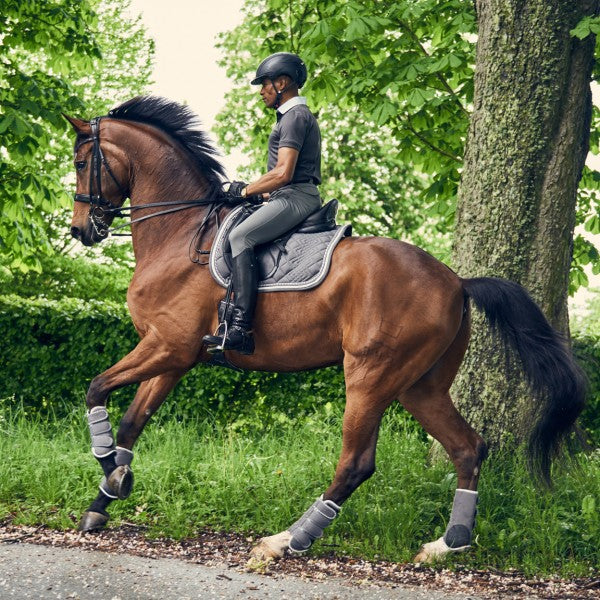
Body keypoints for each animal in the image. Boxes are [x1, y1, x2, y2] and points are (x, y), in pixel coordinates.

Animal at [65, 97, 584, 564]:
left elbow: (96, 389)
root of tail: (457, 281)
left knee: (356, 464)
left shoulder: (167, 346)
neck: (179, 233)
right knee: (468, 448)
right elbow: (131, 422)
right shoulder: (173, 356)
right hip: (420, 386)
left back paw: (285, 541)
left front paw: (112, 473)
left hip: (371, 377)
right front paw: (105, 498)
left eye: (81, 162)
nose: (81, 231)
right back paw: (446, 544)